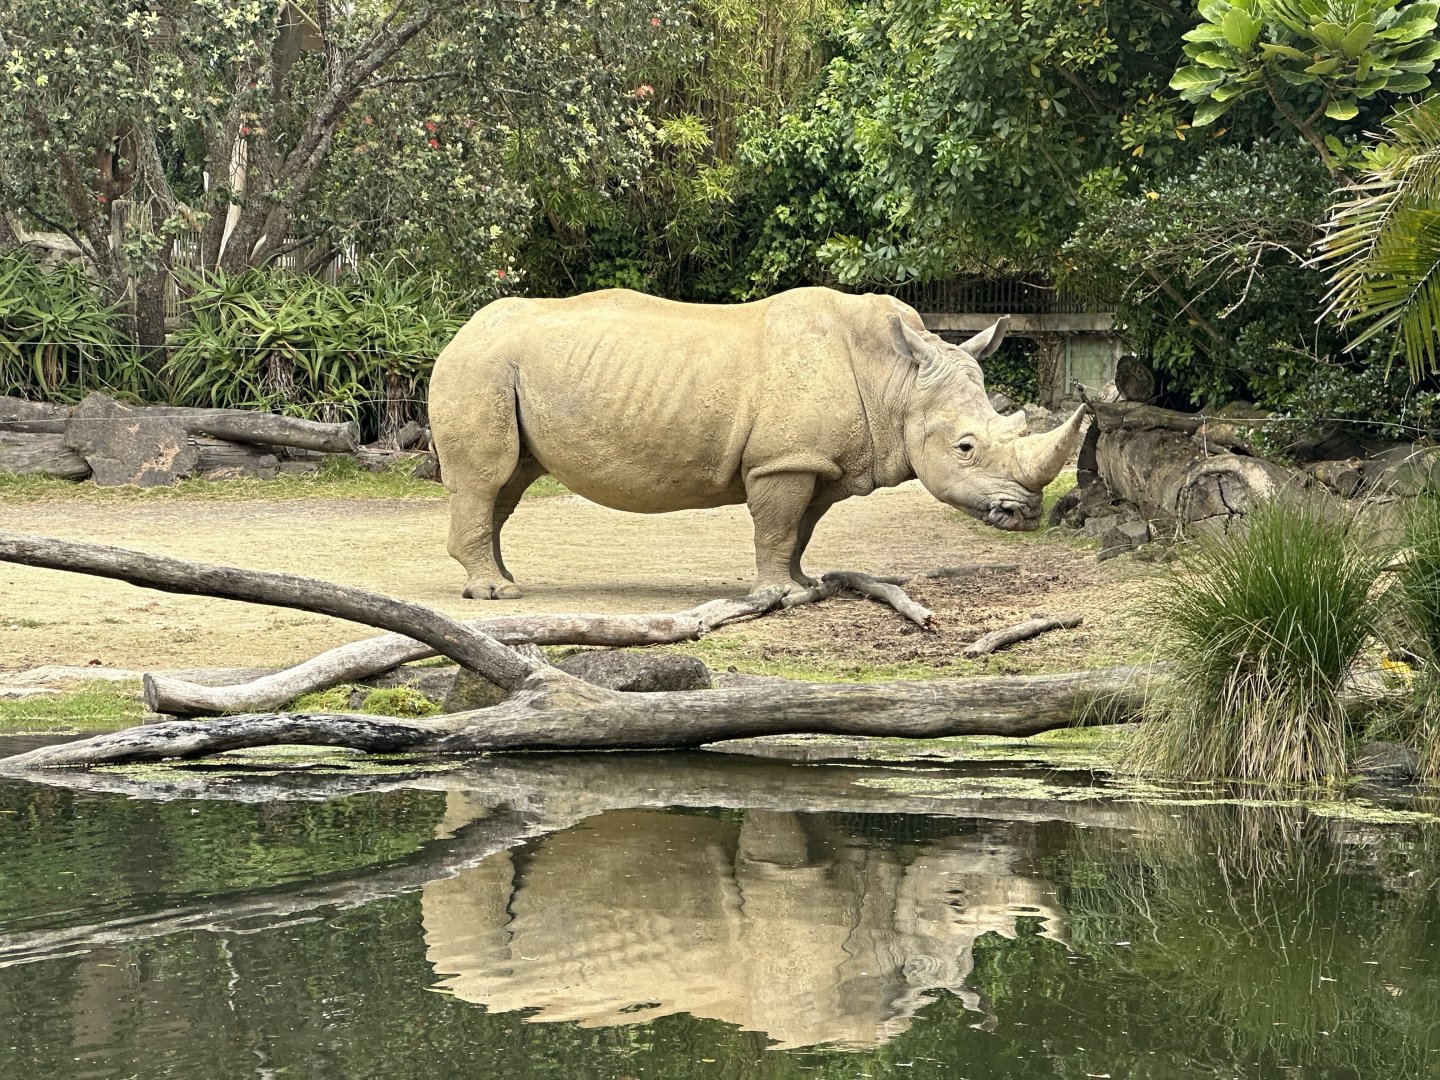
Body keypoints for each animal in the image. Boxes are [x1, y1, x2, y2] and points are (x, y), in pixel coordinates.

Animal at [428, 286, 1086, 599]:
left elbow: (801, 529)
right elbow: (776, 525)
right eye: (965, 448)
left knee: (508, 484)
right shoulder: (782, 461)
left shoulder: (818, 462)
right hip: (479, 366)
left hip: (499, 368)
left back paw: (505, 580)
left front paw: (805, 587)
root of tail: (456, 332)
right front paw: (778, 595)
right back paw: (494, 593)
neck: (896, 381)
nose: (1028, 514)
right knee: (487, 478)